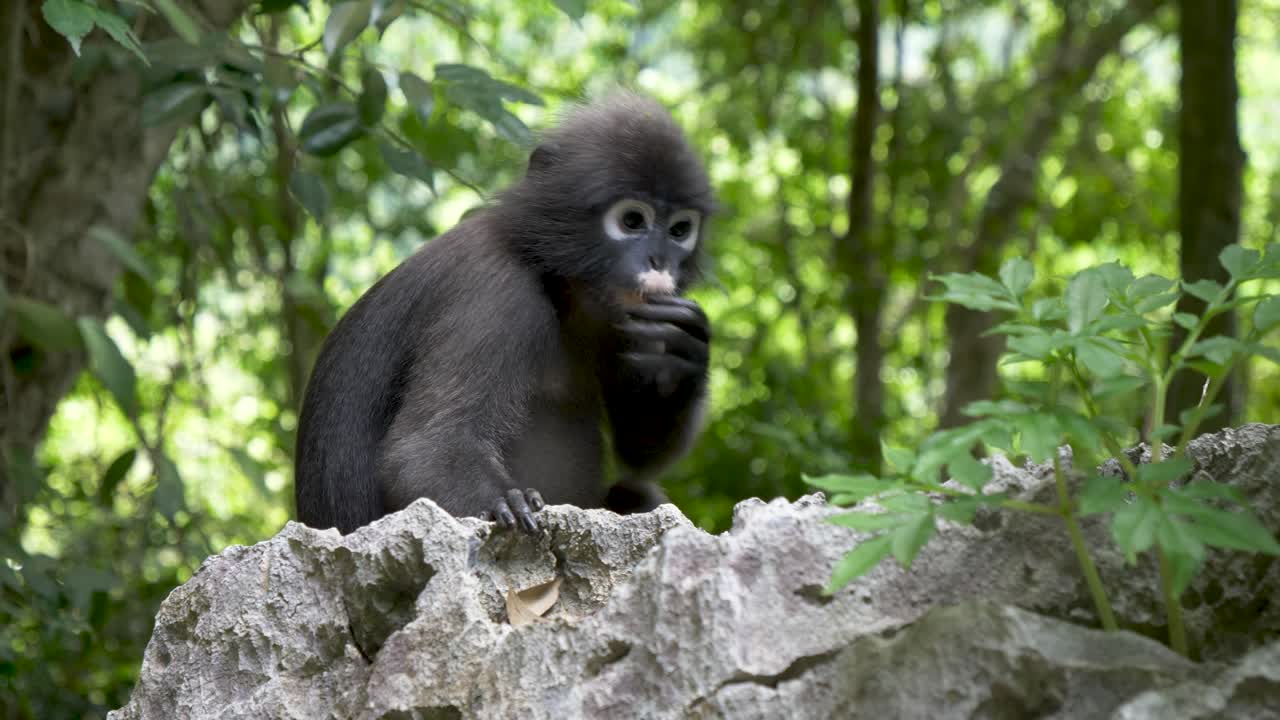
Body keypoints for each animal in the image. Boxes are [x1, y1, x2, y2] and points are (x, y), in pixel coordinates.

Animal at [293, 91, 716, 535]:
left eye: (680, 230)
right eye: (632, 220)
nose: (660, 262)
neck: (553, 280)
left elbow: (639, 453)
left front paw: (677, 353)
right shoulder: (493, 293)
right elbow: (423, 448)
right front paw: (501, 503)